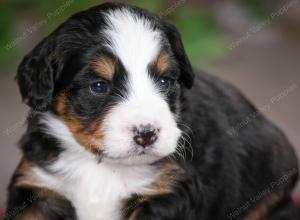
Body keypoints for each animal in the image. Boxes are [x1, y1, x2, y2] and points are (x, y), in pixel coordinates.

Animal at [5, 2, 300, 220]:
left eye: (165, 81)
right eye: (99, 86)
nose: (146, 134)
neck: (102, 166)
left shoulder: (168, 194)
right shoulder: (38, 188)